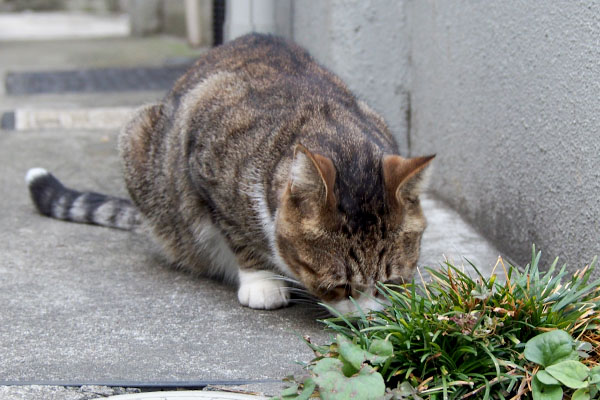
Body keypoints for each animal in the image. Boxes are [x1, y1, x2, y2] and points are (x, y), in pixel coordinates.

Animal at [25, 33, 434, 312]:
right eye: (340, 285)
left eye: (391, 283)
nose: (366, 319)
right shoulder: (203, 162)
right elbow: (236, 231)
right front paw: (261, 282)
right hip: (137, 134)